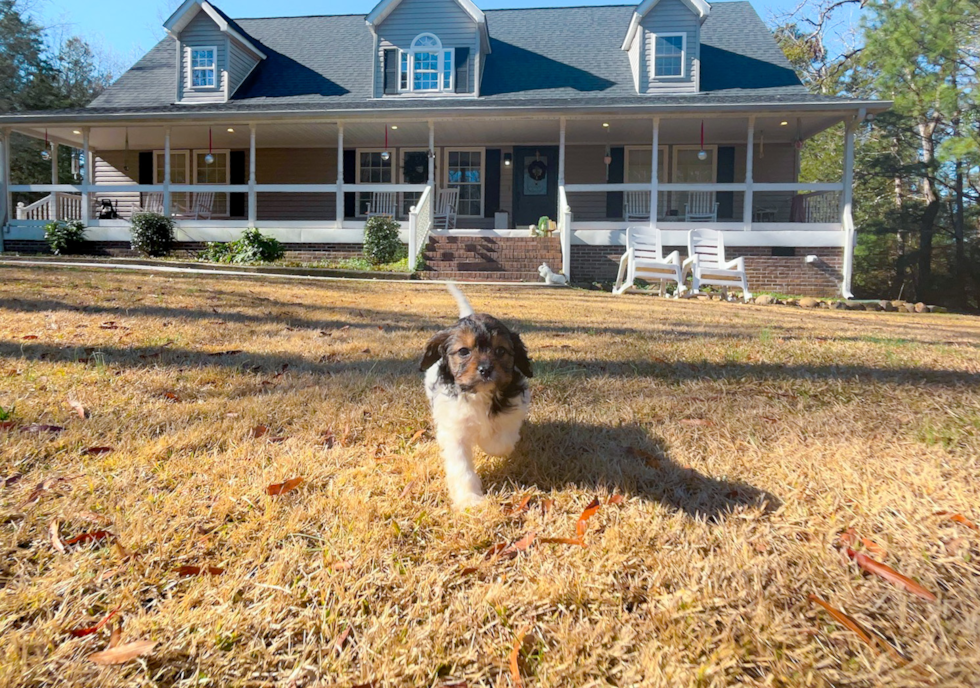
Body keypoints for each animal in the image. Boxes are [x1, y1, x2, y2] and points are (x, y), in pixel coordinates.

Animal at [418, 282, 532, 508]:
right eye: (464, 351)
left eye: (500, 351)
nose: (486, 369)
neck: (479, 394)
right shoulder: (454, 431)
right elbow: (462, 467)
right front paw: (469, 499)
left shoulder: (513, 411)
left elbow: (501, 442)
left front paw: (487, 441)